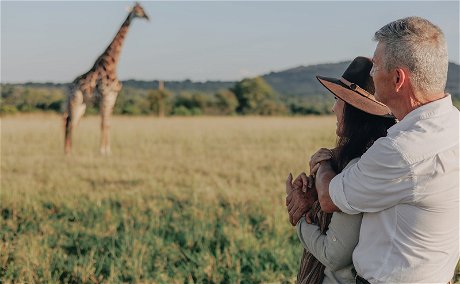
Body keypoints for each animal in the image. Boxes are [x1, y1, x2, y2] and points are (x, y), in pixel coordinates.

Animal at [64, 2, 149, 154]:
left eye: (143, 8)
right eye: (137, 10)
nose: (147, 17)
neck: (112, 64)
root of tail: (69, 87)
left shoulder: (112, 97)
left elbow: (108, 123)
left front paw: (108, 149)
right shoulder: (105, 96)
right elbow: (103, 123)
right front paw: (103, 150)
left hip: (83, 103)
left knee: (72, 122)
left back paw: (69, 150)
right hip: (75, 99)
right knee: (69, 121)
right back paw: (68, 151)